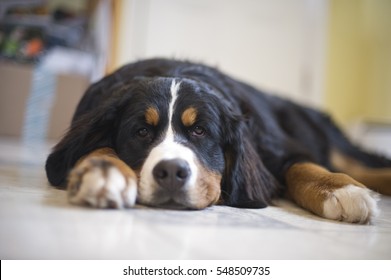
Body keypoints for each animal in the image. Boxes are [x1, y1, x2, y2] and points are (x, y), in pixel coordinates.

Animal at [46, 58, 391, 224]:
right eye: (142, 132)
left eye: (200, 131)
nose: (171, 172)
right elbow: (97, 148)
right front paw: (104, 172)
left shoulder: (279, 148)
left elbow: (302, 167)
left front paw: (341, 191)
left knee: (359, 164)